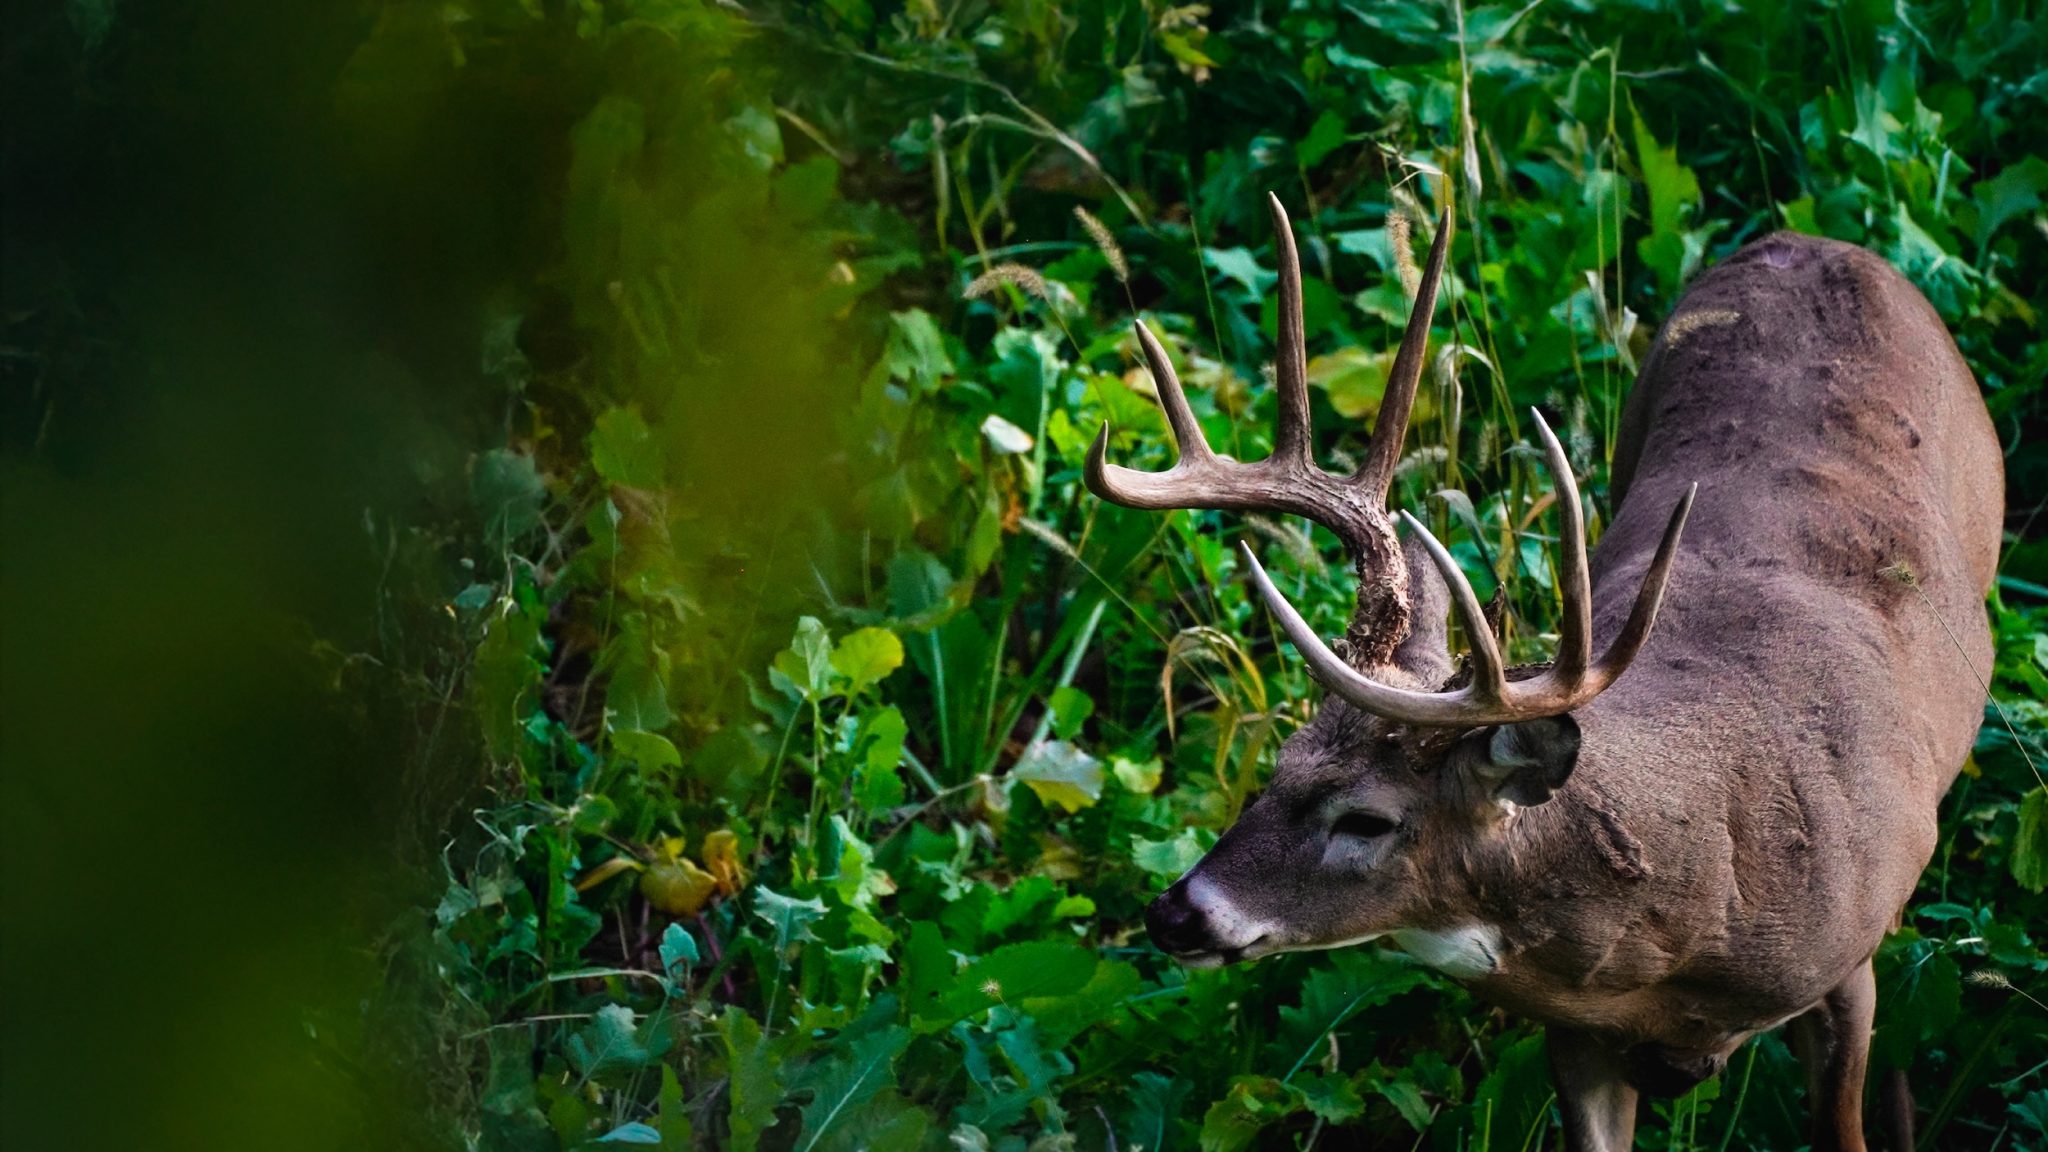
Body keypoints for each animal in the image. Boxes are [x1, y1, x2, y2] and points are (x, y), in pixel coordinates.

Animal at [1086, 195, 2002, 1152]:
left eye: (1368, 819)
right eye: (1277, 770)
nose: (1175, 913)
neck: (1697, 910)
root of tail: (1805, 235)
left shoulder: (1847, 970)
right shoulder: (1576, 1028)